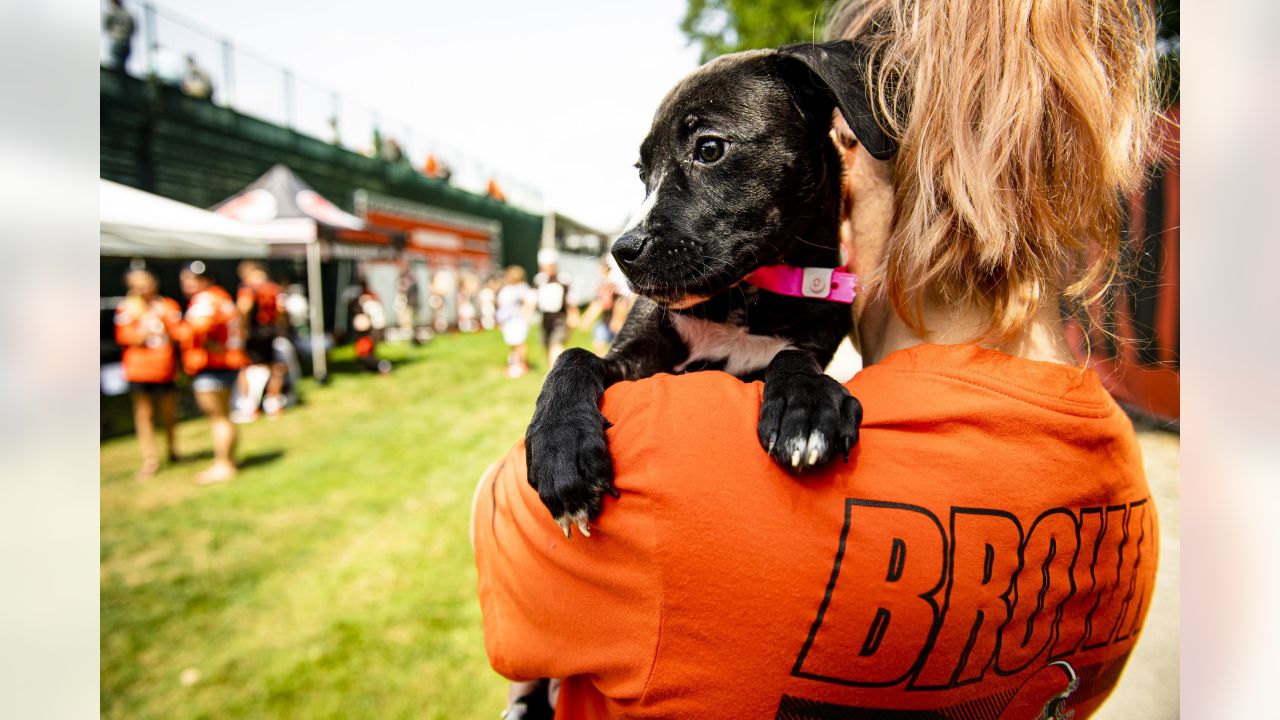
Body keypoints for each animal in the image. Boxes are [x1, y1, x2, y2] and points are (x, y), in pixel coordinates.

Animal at [524, 39, 896, 532]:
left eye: (710, 148)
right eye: (642, 173)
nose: (622, 252)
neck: (744, 302)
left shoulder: (811, 338)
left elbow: (795, 356)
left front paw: (806, 401)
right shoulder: (636, 358)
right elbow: (574, 356)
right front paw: (560, 446)